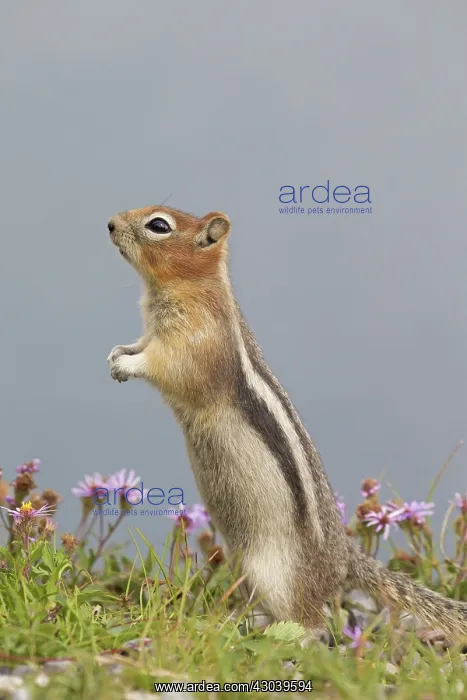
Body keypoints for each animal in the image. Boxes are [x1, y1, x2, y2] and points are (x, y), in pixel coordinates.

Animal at [106, 205, 467, 642]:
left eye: (158, 225)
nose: (110, 224)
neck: (193, 289)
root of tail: (344, 558)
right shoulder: (152, 332)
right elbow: (139, 344)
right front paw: (117, 353)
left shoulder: (193, 342)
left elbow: (166, 366)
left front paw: (128, 365)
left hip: (277, 575)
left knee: (311, 619)